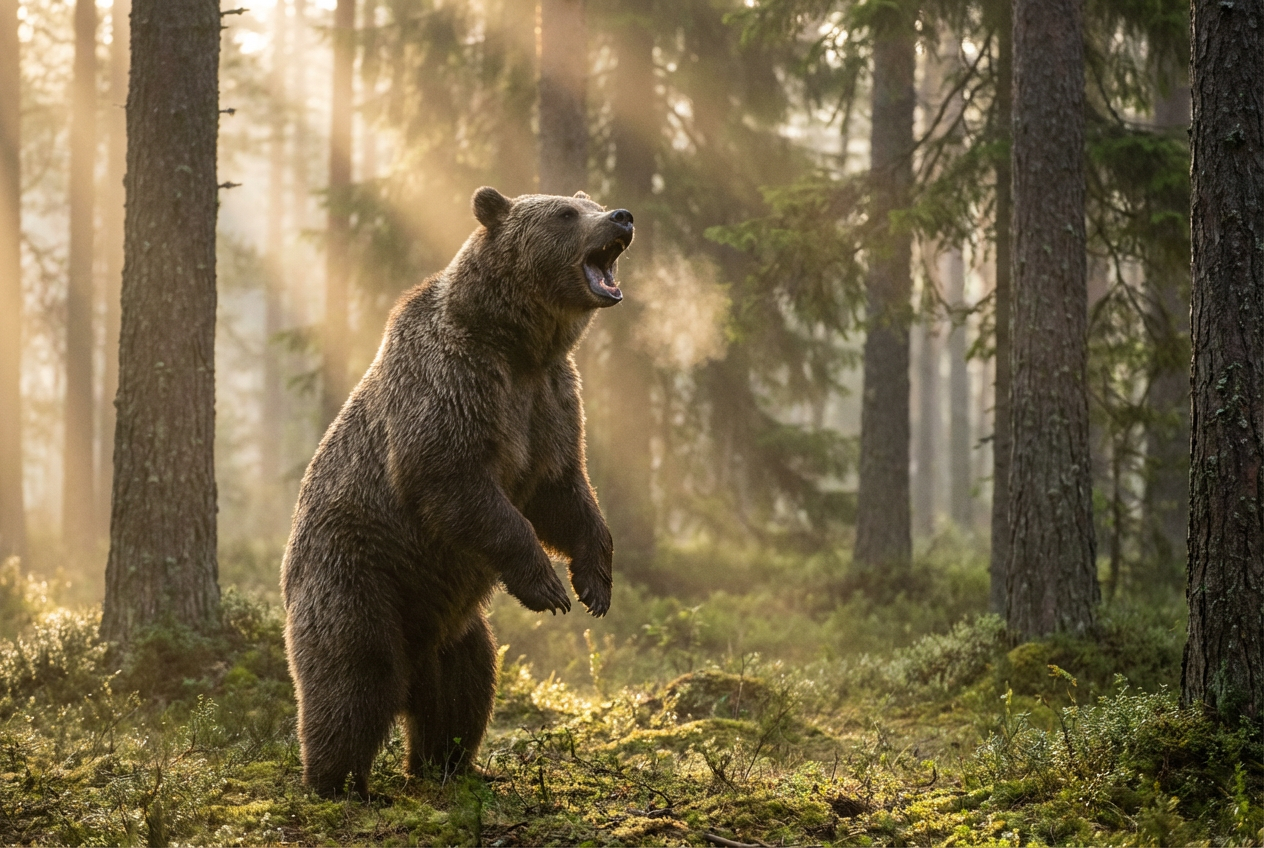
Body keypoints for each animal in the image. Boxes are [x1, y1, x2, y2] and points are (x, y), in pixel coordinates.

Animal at [280, 187, 632, 798]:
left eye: (589, 201)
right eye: (565, 213)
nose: (623, 217)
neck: (519, 343)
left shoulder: (551, 398)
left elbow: (562, 491)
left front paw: (594, 582)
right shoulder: (453, 381)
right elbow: (454, 477)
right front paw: (546, 585)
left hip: (455, 629)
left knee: (465, 686)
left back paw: (452, 765)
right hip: (357, 574)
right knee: (354, 677)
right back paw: (340, 782)